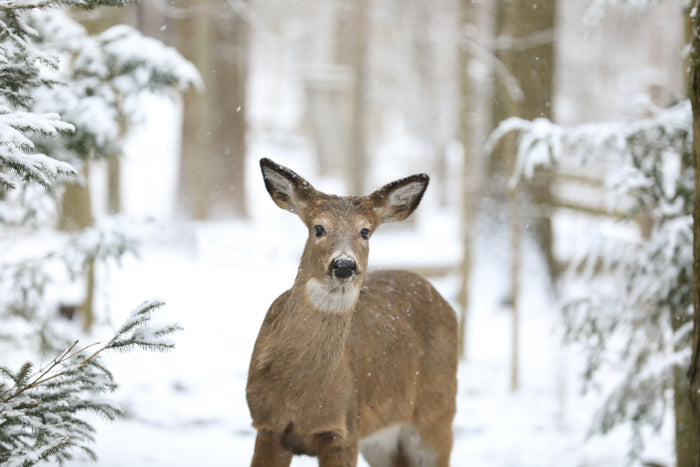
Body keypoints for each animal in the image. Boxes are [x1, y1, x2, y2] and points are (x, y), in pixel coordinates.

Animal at [246, 158, 458, 467]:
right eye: (318, 228)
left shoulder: (344, 428)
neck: (297, 396)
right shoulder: (265, 425)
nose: (344, 264)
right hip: (382, 438)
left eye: (365, 231)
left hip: (437, 413)